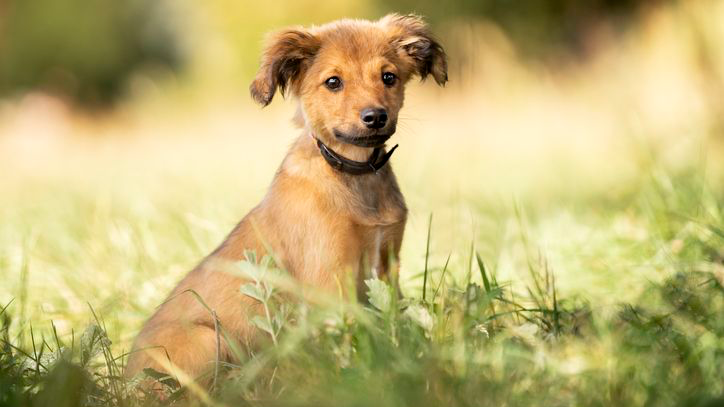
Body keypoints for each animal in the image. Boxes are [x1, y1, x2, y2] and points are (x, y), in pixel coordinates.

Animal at [127, 13, 450, 386]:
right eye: (333, 82)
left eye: (389, 77)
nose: (375, 117)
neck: (354, 173)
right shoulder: (330, 279)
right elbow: (350, 338)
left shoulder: (387, 265)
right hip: (207, 339)